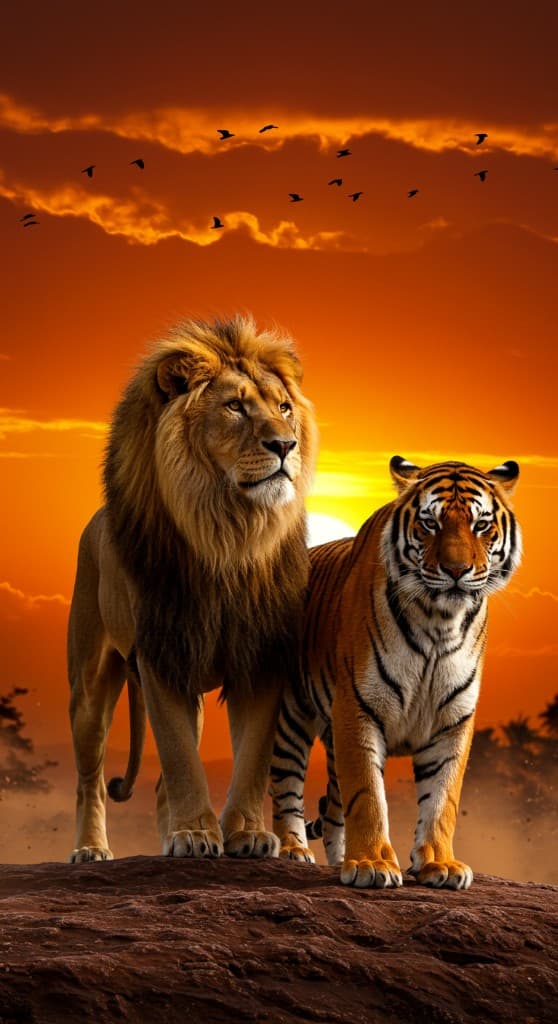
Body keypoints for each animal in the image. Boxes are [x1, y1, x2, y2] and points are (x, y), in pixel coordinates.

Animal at [67, 314, 318, 862]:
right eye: (235, 407)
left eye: (284, 408)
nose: (285, 445)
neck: (229, 535)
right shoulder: (162, 655)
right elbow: (181, 758)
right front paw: (195, 835)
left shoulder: (262, 654)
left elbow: (252, 758)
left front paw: (245, 833)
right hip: (90, 686)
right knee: (90, 780)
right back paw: (91, 848)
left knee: (160, 785)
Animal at [270, 455, 521, 889]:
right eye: (431, 523)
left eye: (480, 525)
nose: (456, 570)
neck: (439, 622)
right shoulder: (358, 709)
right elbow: (368, 795)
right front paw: (371, 864)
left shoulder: (452, 720)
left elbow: (442, 798)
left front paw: (440, 864)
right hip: (291, 716)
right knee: (286, 786)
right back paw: (293, 850)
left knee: (333, 812)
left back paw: (337, 860)